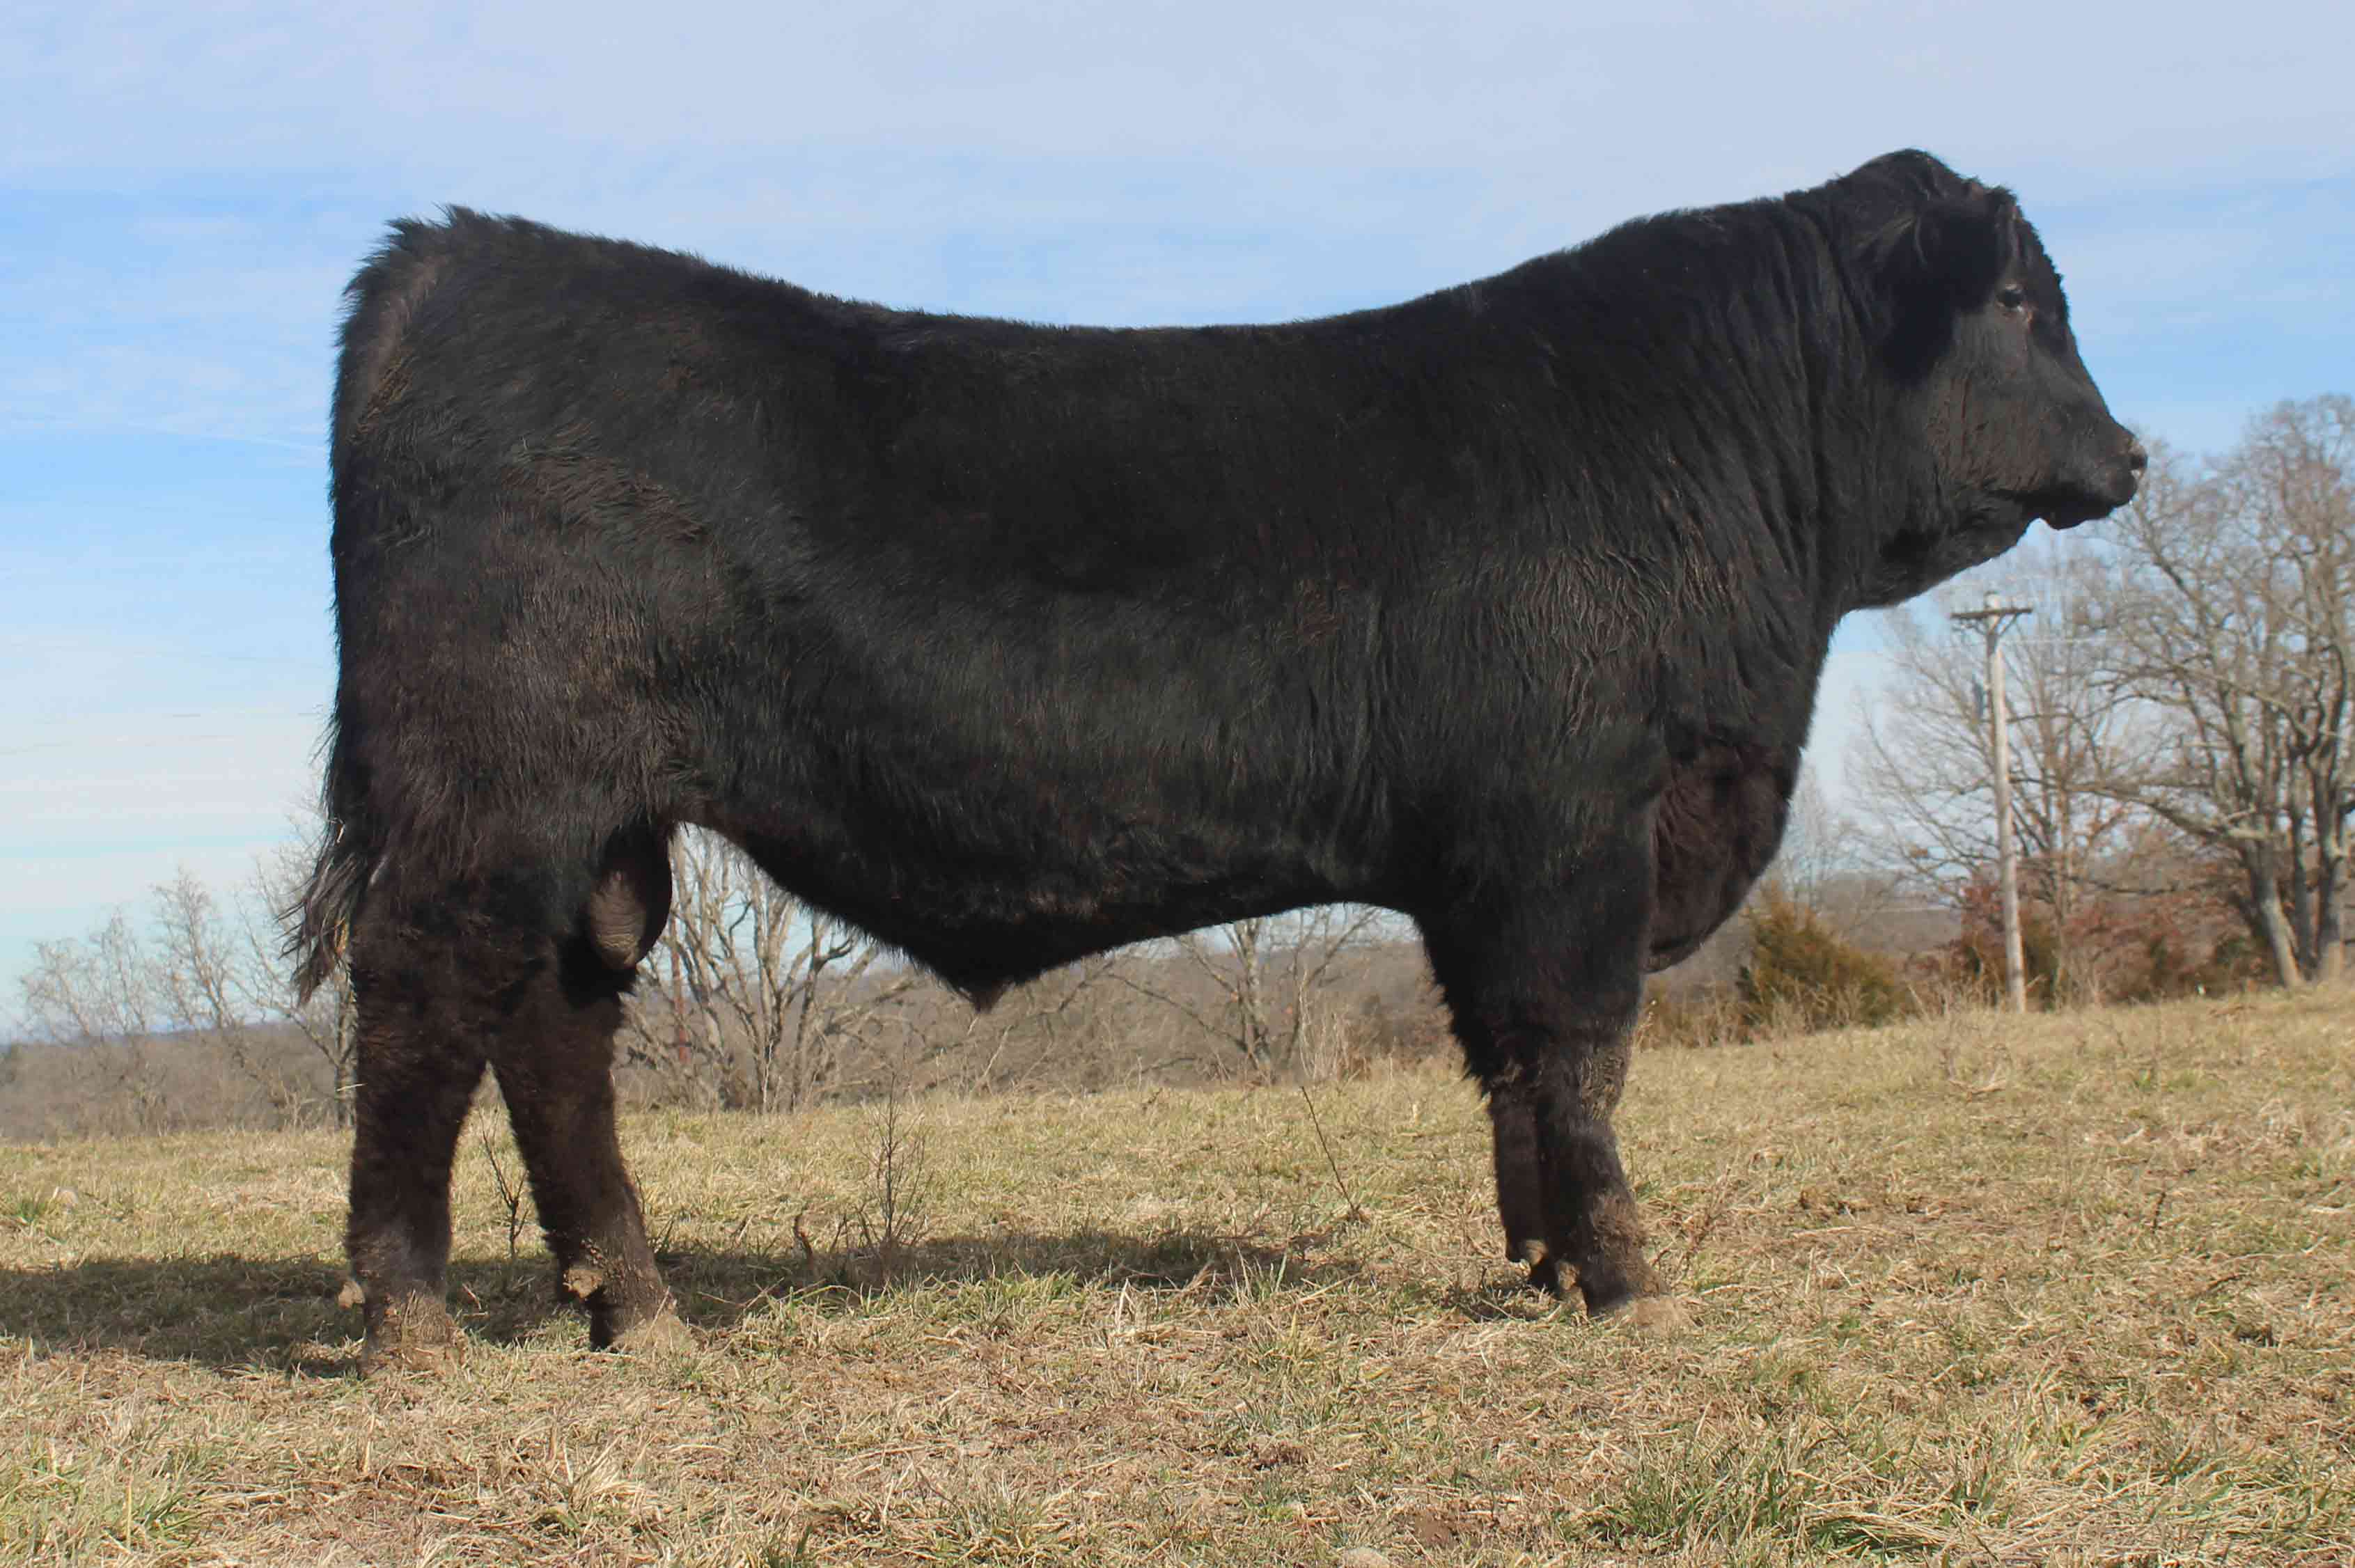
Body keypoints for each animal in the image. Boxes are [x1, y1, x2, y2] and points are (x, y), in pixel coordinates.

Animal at [296, 150, 2142, 1371]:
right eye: (2012, 299)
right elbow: (1578, 1049)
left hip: (599, 826)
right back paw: (407, 1314)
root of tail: (446, 258)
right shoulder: (1571, 826)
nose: (2128, 456)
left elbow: (1508, 1064)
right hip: (490, 795)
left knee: (553, 1032)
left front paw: (1540, 1262)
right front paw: (1626, 1275)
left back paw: (639, 1307)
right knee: (424, 997)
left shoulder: (1486, 860)